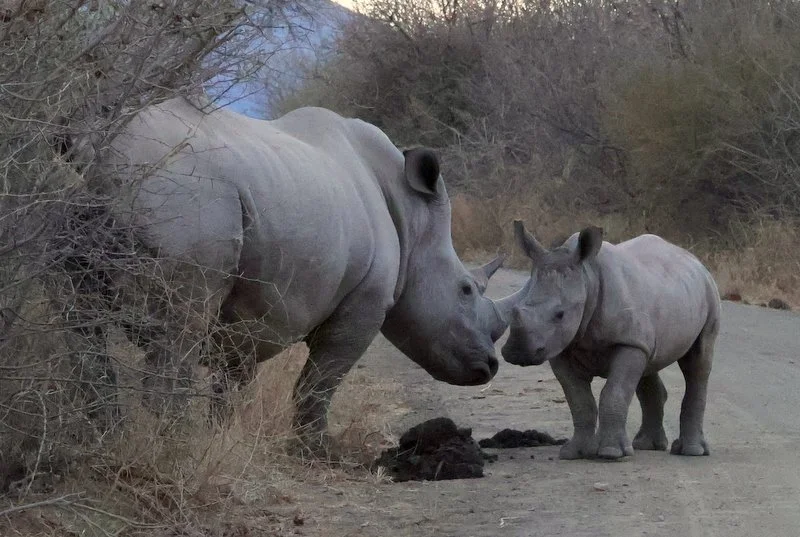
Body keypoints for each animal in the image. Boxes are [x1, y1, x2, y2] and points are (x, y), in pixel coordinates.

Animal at [81, 97, 511, 446]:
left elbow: (231, 382)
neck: (413, 216)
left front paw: (222, 440)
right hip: (185, 195)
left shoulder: (249, 311)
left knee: (84, 321)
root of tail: (109, 150)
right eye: (465, 289)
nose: (490, 367)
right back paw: (173, 447)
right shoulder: (365, 301)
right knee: (181, 325)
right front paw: (317, 450)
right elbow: (320, 381)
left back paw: (108, 439)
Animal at [501, 220, 721, 460]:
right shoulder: (560, 347)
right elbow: (579, 399)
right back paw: (647, 445)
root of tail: (695, 260)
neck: (588, 277)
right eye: (516, 308)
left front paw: (611, 453)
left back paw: (692, 451)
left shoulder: (626, 342)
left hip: (709, 294)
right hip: (660, 300)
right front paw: (574, 452)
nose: (517, 353)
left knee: (698, 364)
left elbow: (614, 392)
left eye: (560, 314)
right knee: (648, 363)